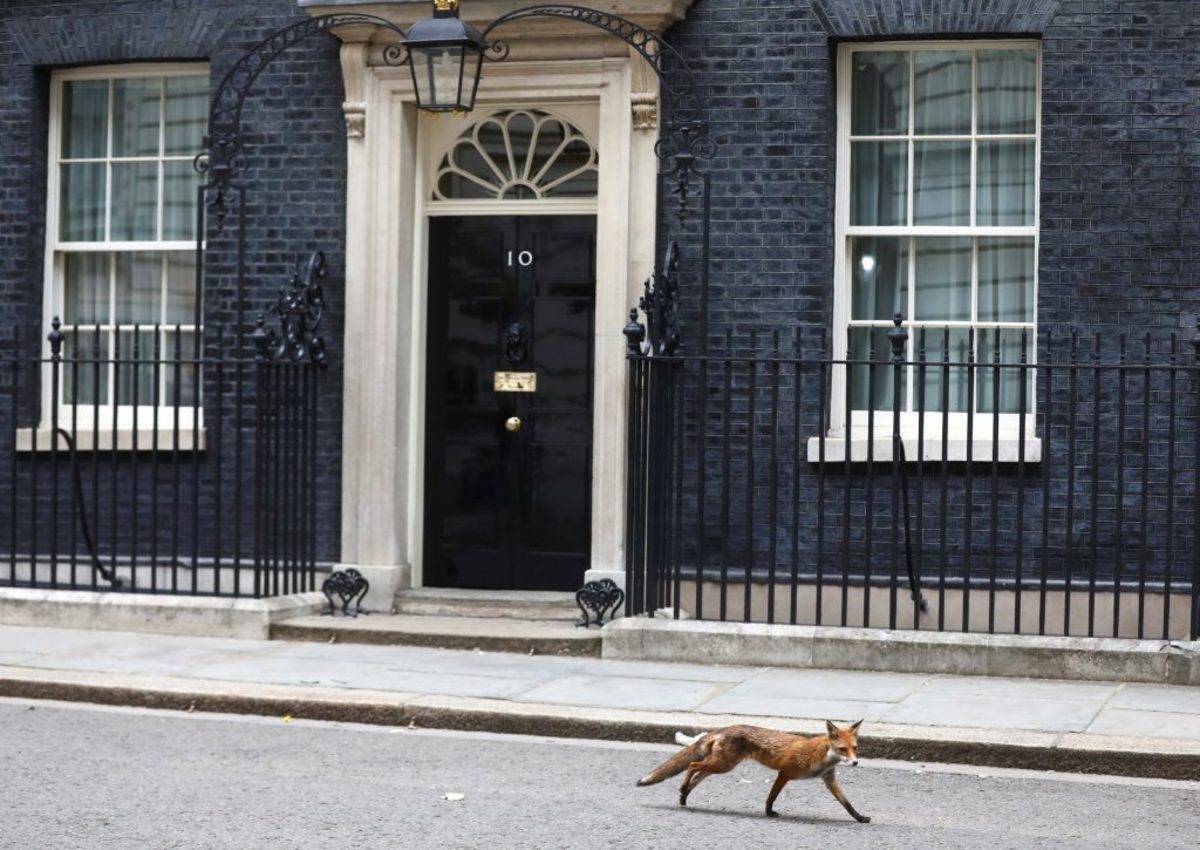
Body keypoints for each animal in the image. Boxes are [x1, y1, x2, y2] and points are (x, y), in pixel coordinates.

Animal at [643, 720, 868, 821]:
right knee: (692, 766)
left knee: (697, 774)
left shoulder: (829, 779)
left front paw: (860, 818)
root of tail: (724, 728)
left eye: (855, 748)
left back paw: (684, 796)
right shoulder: (785, 773)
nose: (855, 763)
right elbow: (772, 796)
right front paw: (769, 812)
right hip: (722, 765)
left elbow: (847, 804)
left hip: (721, 766)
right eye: (842, 749)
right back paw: (683, 789)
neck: (822, 756)